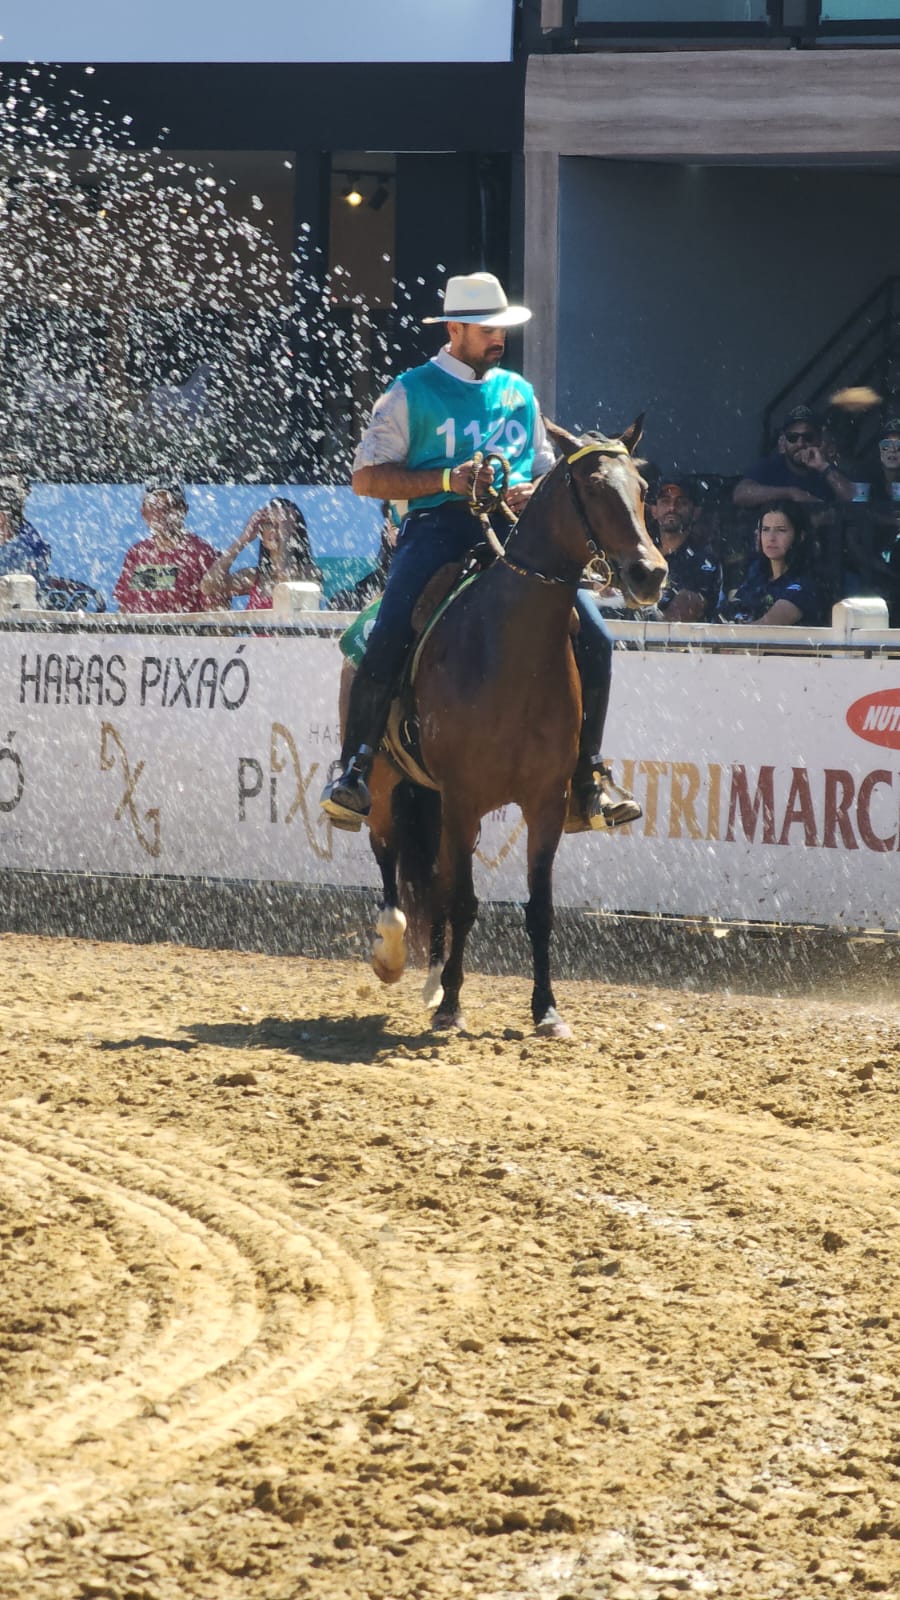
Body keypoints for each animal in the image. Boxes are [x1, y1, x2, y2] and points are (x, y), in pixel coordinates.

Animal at [360, 416, 662, 1036]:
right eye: (593, 488)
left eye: (642, 490)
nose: (651, 573)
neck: (509, 651)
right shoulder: (463, 796)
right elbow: (465, 901)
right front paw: (452, 1006)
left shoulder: (545, 801)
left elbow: (538, 907)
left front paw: (546, 1008)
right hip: (386, 783)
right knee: (388, 858)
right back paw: (395, 954)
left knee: (432, 878)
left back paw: (432, 976)